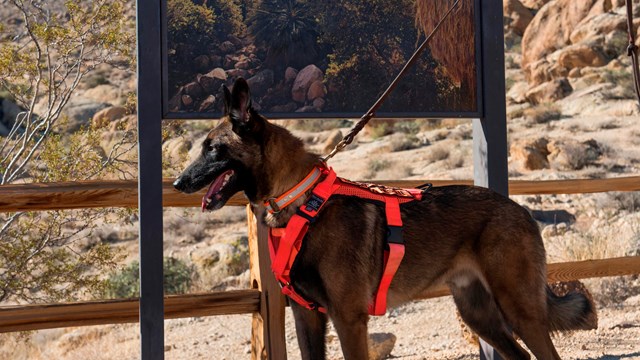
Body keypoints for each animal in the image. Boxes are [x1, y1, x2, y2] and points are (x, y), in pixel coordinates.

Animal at [174, 79, 596, 360]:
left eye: (213, 149)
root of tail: (519, 208)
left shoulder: (349, 319)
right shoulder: (307, 318)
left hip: (518, 308)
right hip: (479, 315)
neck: (300, 198)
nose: (178, 183)